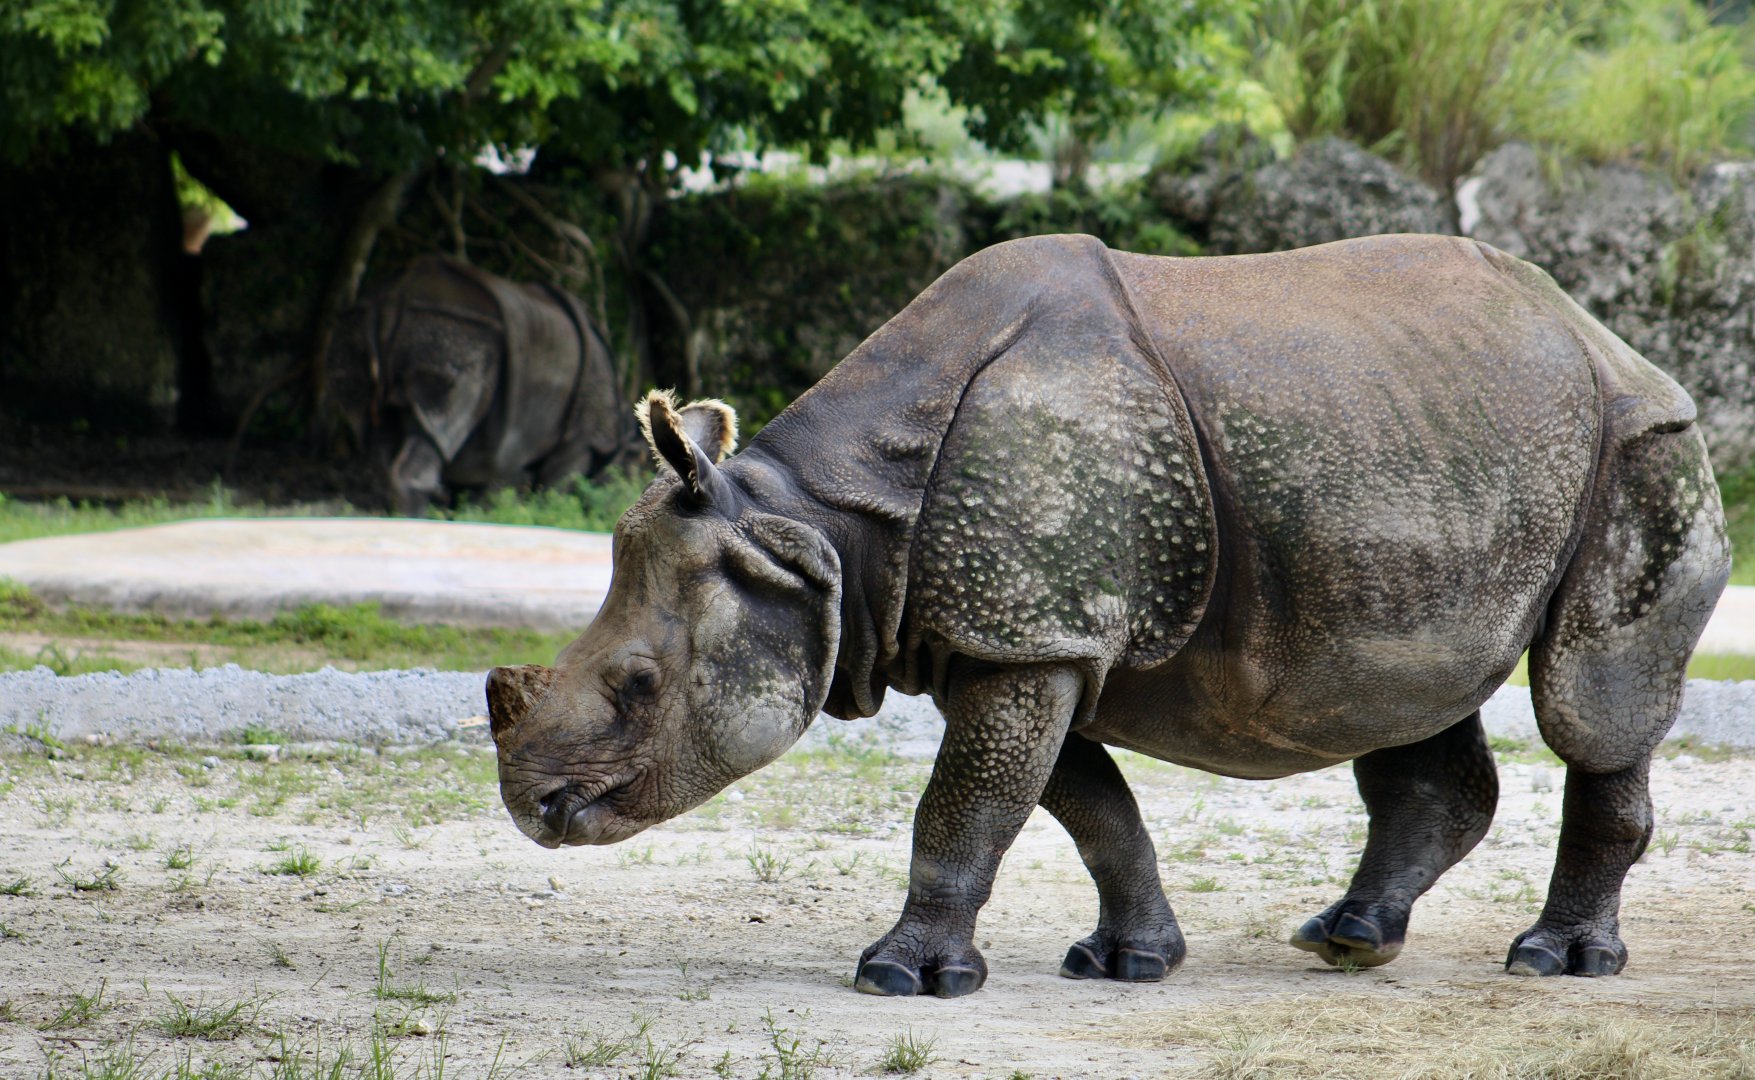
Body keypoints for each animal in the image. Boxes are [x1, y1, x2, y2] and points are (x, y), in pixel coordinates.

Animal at [330, 255, 637, 514]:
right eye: (635, 459)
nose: (621, 502)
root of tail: (394, 295)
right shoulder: (581, 439)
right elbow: (557, 487)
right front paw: (552, 515)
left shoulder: (500, 449)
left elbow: (488, 490)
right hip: (458, 329)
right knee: (444, 418)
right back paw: (414, 520)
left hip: (363, 321)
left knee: (375, 429)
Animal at [486, 233, 1730, 998]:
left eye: (640, 686)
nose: (534, 810)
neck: (818, 532)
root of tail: (1607, 334)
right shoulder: (1025, 639)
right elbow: (1084, 808)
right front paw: (1130, 960)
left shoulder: (1028, 635)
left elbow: (966, 809)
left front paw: (900, 978)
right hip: (1424, 445)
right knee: (1406, 699)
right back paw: (1348, 939)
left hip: (1642, 447)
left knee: (1589, 707)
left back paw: (1554, 961)